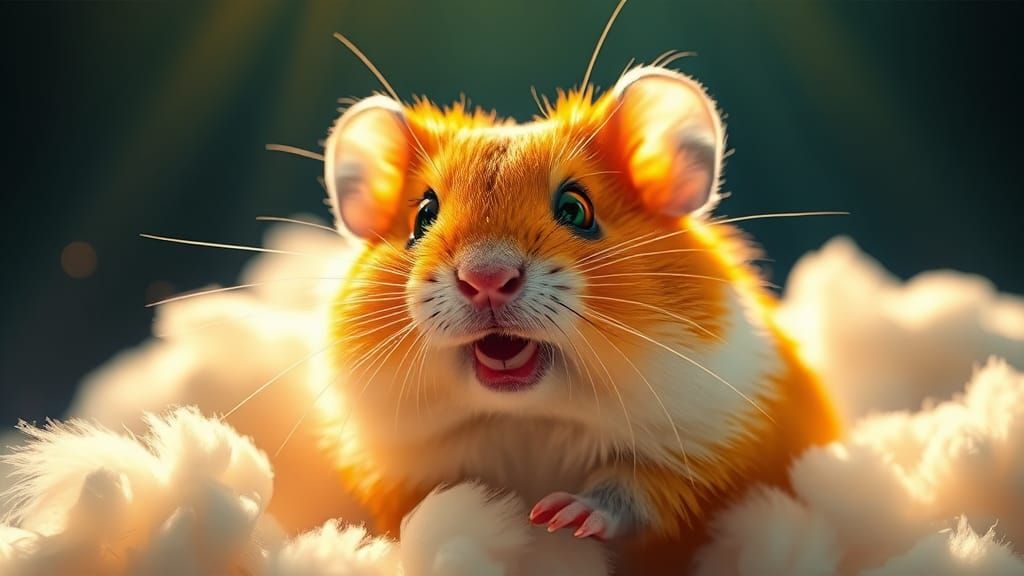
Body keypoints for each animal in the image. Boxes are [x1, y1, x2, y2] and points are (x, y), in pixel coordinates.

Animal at [316, 59, 841, 573]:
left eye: (576, 208)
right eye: (423, 215)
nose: (486, 278)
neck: (531, 416)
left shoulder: (712, 450)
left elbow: (637, 493)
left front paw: (558, 516)